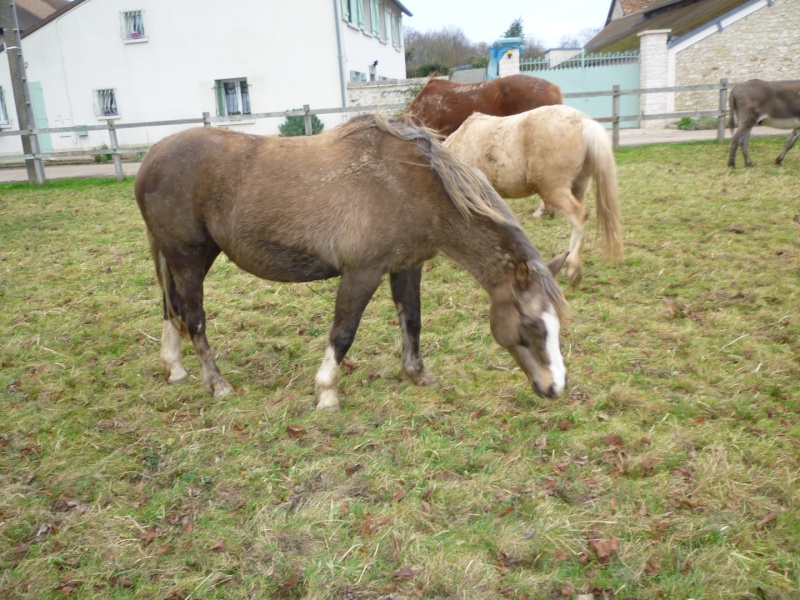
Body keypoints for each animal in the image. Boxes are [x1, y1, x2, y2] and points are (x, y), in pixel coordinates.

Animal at [133, 115, 568, 410]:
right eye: (531, 325)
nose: (555, 387)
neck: (411, 184)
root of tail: (150, 158)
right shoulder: (362, 272)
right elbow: (343, 332)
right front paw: (326, 392)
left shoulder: (406, 266)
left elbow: (412, 319)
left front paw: (417, 374)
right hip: (189, 256)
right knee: (194, 317)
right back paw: (217, 383)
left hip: (187, 257)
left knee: (171, 307)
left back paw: (175, 368)